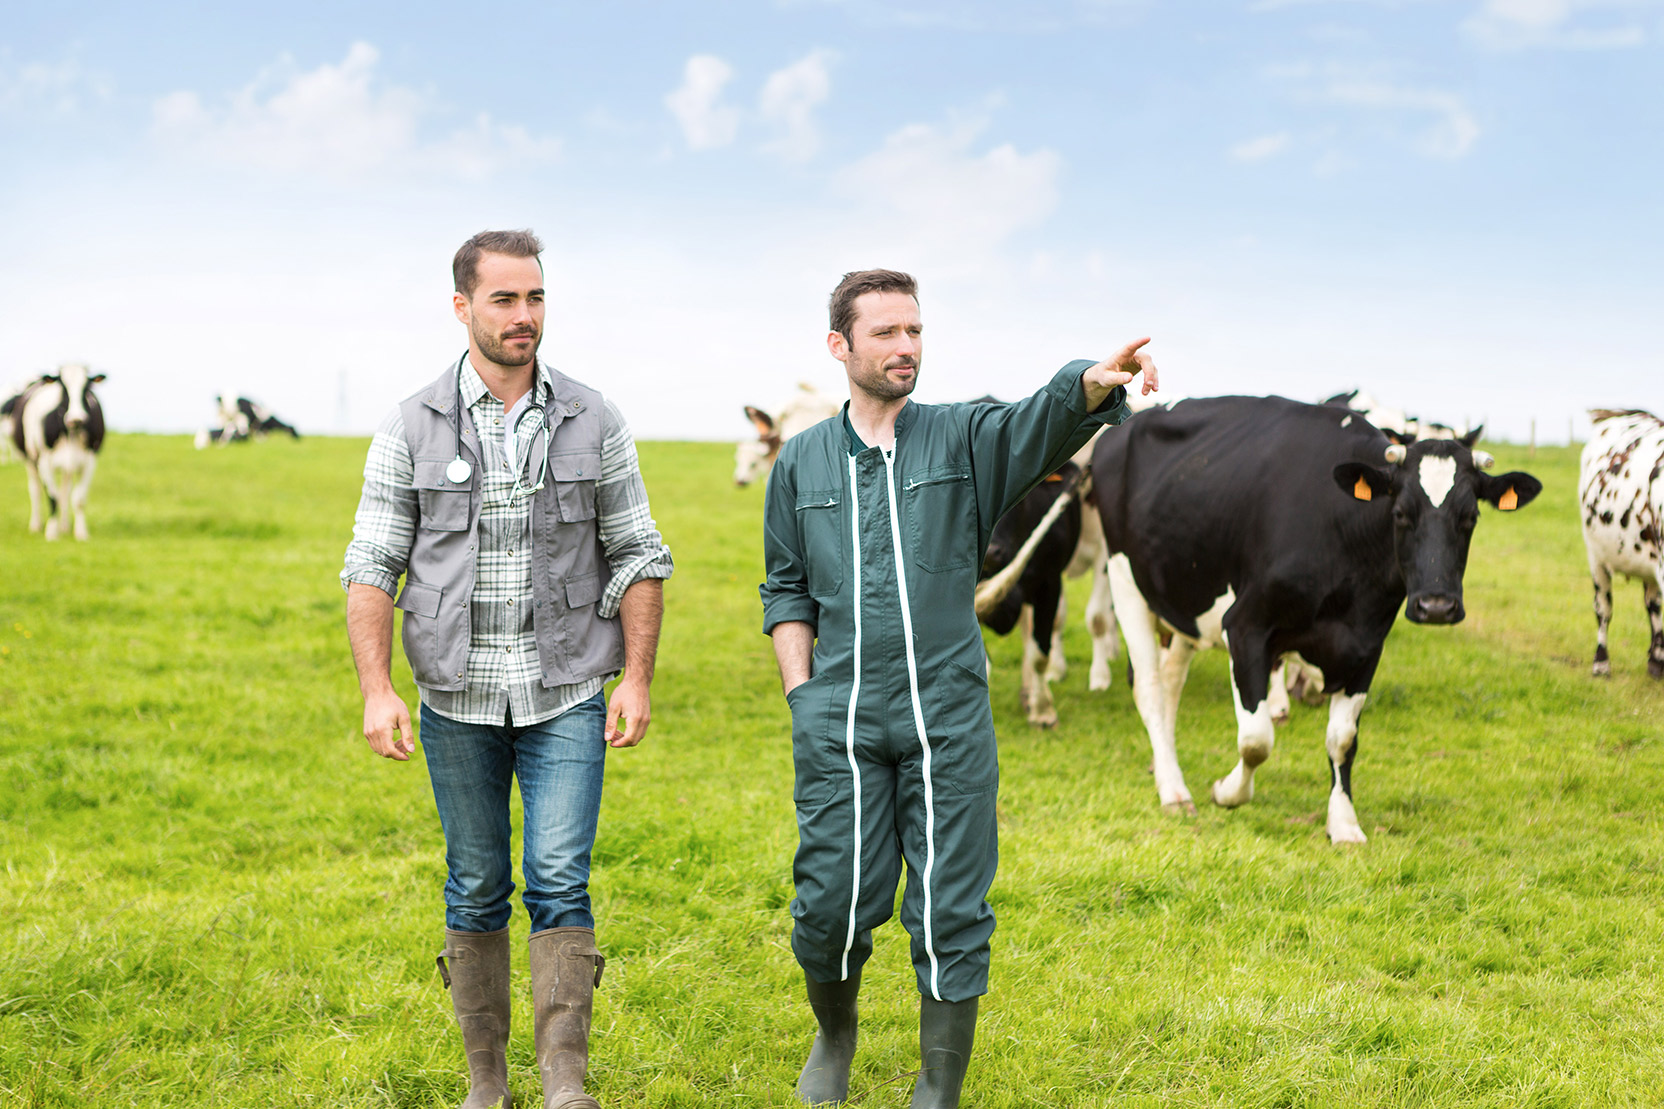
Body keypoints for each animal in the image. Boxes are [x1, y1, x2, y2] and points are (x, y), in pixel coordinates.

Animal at [11, 363, 107, 539]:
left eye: (87, 387)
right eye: (63, 387)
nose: (77, 418)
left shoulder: (90, 459)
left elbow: (78, 498)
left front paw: (81, 533)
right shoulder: (44, 461)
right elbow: (52, 497)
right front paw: (51, 533)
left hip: (68, 465)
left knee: (65, 492)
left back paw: (65, 526)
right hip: (30, 459)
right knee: (35, 490)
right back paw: (36, 525)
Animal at [1091, 394, 1544, 839]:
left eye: (1471, 517)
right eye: (1399, 513)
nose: (1436, 606)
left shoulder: (1367, 643)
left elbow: (1342, 739)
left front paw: (1343, 823)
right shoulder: (1244, 627)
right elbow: (1256, 739)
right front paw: (1227, 792)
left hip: (1185, 600)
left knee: (1170, 685)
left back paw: (1165, 767)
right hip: (1125, 581)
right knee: (1149, 689)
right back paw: (1172, 789)